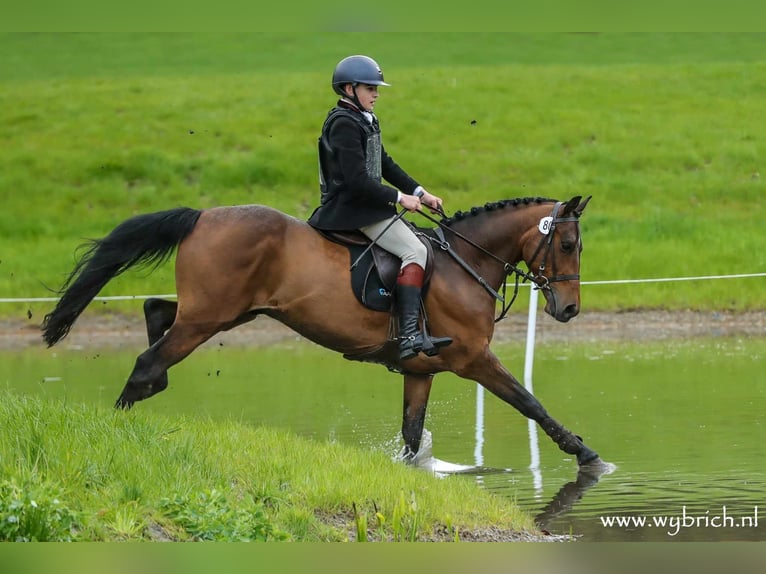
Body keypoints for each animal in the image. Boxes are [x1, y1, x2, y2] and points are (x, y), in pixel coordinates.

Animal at [41, 195, 604, 468]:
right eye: (568, 245)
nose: (570, 309)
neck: (464, 263)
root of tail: (202, 215)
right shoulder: (473, 358)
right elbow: (530, 402)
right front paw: (586, 454)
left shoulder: (421, 370)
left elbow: (411, 432)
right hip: (211, 316)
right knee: (146, 364)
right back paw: (115, 431)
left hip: (229, 311)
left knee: (157, 312)